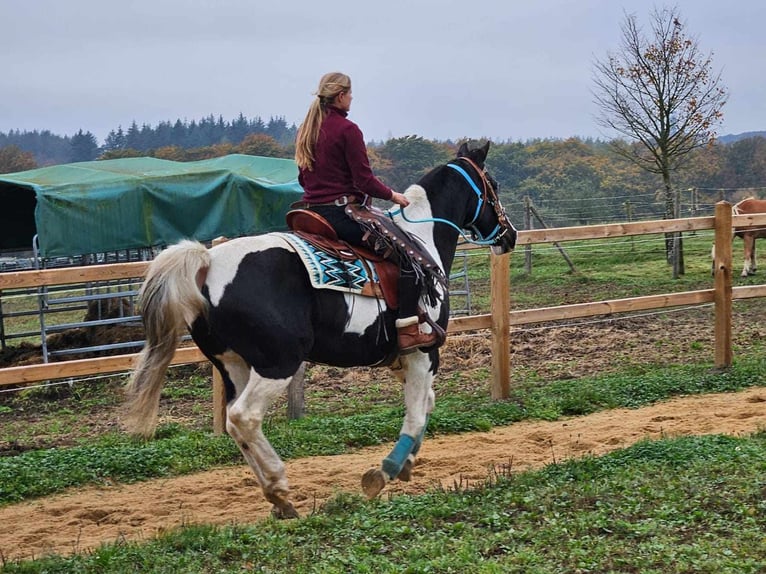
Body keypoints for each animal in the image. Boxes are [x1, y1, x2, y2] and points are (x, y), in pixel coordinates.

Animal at [126, 142, 520, 520]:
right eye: (493, 185)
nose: (511, 235)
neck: (422, 238)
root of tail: (208, 261)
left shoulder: (402, 359)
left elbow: (426, 403)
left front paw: (407, 463)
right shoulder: (424, 351)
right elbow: (417, 411)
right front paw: (385, 472)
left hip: (233, 365)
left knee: (236, 422)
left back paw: (277, 498)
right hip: (278, 363)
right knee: (244, 417)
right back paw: (279, 487)